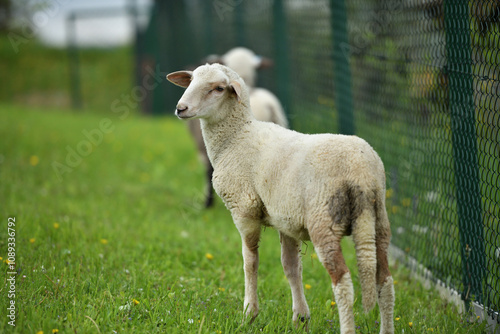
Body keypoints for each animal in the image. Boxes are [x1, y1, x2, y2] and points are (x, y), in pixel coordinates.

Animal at [167, 63, 394, 334]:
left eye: (219, 88)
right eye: (190, 80)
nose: (181, 108)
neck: (236, 137)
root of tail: (361, 171)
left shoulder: (244, 210)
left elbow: (250, 263)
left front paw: (249, 314)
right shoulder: (286, 220)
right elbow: (291, 268)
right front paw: (301, 319)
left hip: (324, 221)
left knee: (343, 282)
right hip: (379, 220)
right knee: (385, 283)